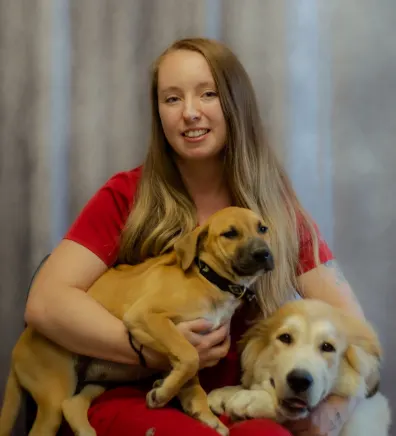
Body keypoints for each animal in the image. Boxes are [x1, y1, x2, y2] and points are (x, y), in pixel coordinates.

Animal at [0, 207, 276, 436]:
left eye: (262, 228)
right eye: (230, 233)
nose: (264, 254)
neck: (209, 279)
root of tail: (16, 350)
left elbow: (192, 381)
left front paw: (201, 412)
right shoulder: (147, 316)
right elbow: (189, 357)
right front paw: (163, 394)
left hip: (96, 381)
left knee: (73, 405)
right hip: (53, 397)